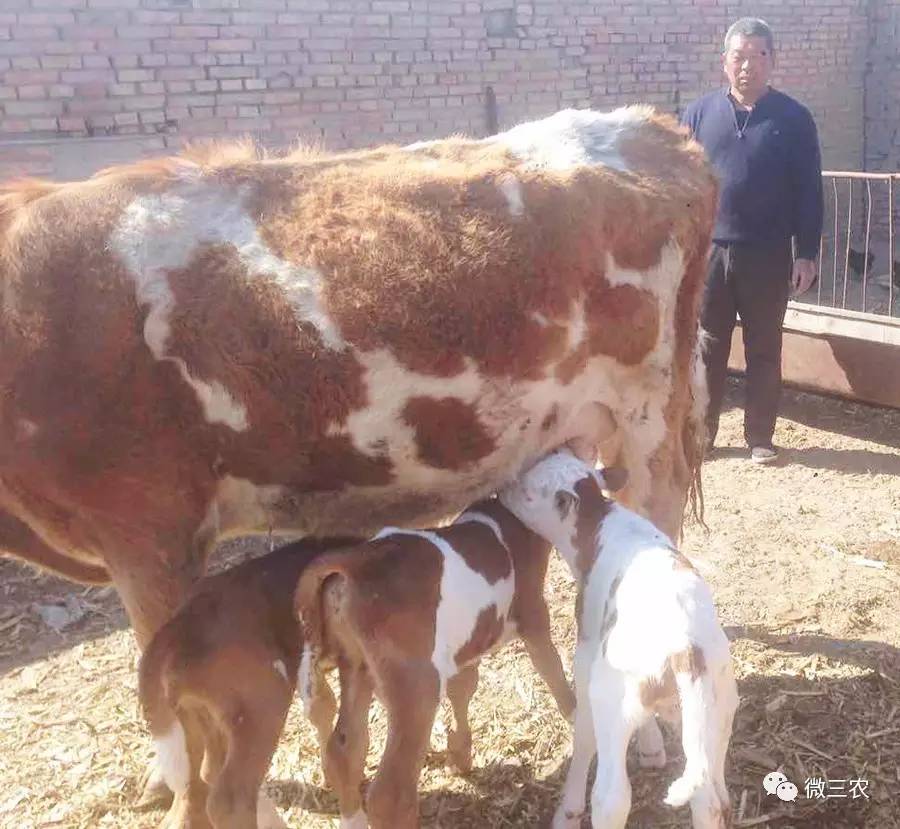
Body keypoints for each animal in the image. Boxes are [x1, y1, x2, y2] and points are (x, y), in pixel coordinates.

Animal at [137, 536, 358, 828]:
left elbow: (323, 707)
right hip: (262, 704)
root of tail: (173, 630)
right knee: (230, 798)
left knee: (208, 772)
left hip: (201, 714)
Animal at [298, 494, 576, 828]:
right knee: (390, 791)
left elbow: (464, 687)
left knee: (346, 749)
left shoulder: (467, 641)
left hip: (355, 664)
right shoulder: (533, 612)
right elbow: (553, 671)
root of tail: (355, 562)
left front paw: (460, 755)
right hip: (416, 683)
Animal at [500, 450, 740, 828]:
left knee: (612, 797)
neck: (598, 523)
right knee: (709, 795)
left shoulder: (586, 655)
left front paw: (568, 809)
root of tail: (685, 648)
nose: (502, 489)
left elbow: (583, 734)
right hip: (718, 708)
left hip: (613, 696)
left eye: (527, 490)